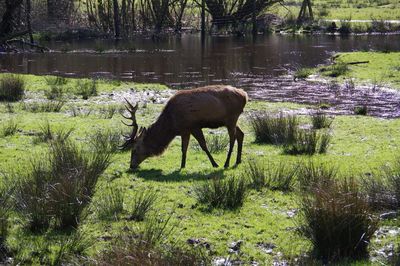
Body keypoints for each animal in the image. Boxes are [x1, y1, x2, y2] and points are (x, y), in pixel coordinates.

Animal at [120, 85, 248, 170]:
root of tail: (245, 95)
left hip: (231, 118)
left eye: (134, 149)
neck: (171, 124)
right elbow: (184, 148)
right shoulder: (185, 131)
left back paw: (226, 163)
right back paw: (238, 161)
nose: (131, 165)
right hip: (231, 120)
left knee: (233, 138)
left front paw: (215, 164)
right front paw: (182, 166)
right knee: (241, 134)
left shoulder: (194, 126)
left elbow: (203, 146)